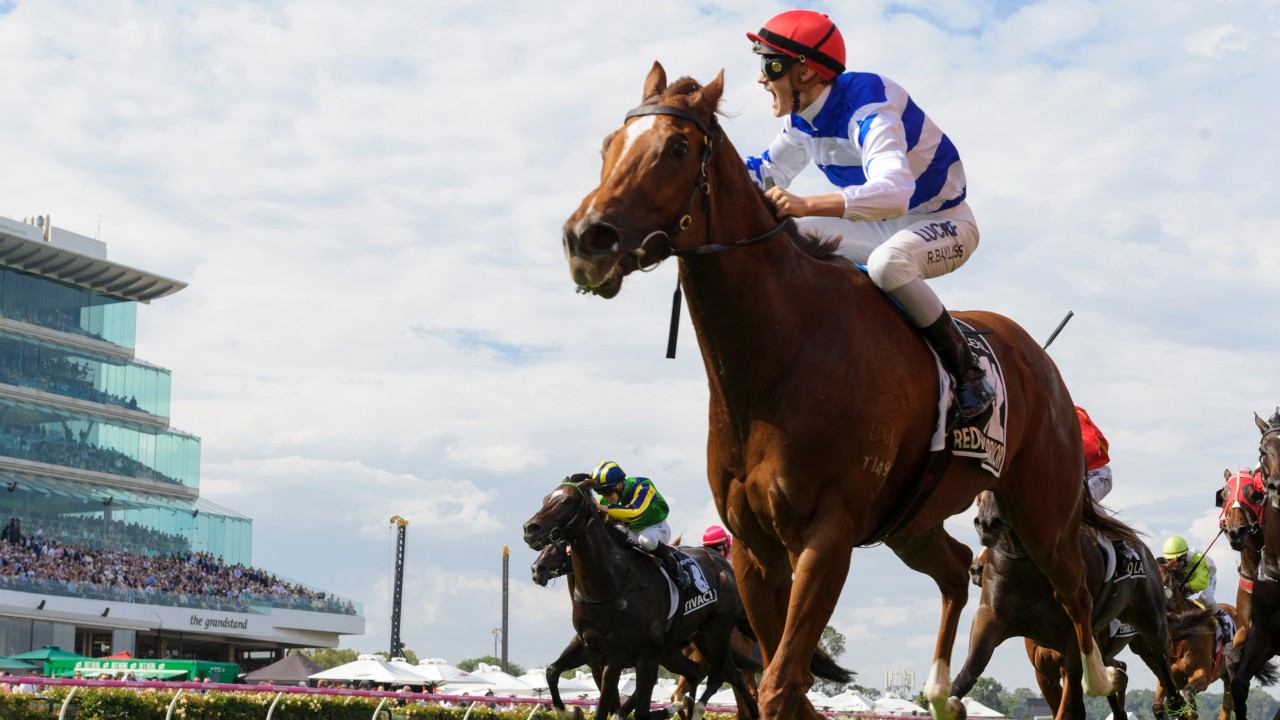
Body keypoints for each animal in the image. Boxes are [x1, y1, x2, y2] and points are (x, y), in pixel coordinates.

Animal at [523, 475, 761, 720]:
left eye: (568, 501)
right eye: (545, 498)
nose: (530, 529)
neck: (611, 586)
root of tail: (722, 564)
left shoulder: (645, 655)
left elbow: (639, 710)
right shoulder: (596, 650)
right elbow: (554, 673)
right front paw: (572, 710)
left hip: (718, 632)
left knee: (721, 677)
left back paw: (696, 707)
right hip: (697, 641)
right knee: (707, 674)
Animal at [562, 61, 1116, 720]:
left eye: (676, 148)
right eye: (607, 146)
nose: (585, 238)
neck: (781, 356)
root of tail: (1042, 362)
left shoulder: (827, 538)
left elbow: (780, 684)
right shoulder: (755, 548)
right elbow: (783, 680)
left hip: (1041, 511)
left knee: (1074, 596)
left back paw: (1099, 676)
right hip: (912, 522)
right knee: (957, 570)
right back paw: (940, 693)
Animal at [958, 490, 1181, 720]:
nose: (976, 569)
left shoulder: (1072, 647)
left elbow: (1068, 708)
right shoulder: (1034, 662)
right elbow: (968, 672)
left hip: (1149, 625)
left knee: (1160, 660)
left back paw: (1177, 703)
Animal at [1156, 559, 1239, 720]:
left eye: (1167, 578)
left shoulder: (1202, 674)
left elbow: (1188, 694)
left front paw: (1189, 711)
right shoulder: (1168, 677)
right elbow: (1158, 707)